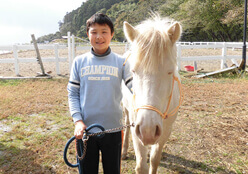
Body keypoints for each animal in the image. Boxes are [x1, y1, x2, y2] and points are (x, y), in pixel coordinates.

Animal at [121, 15, 182, 174]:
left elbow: (154, 160)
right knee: (126, 124)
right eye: (133, 71)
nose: (147, 130)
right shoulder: (137, 128)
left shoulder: (166, 130)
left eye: (170, 71)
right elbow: (141, 165)